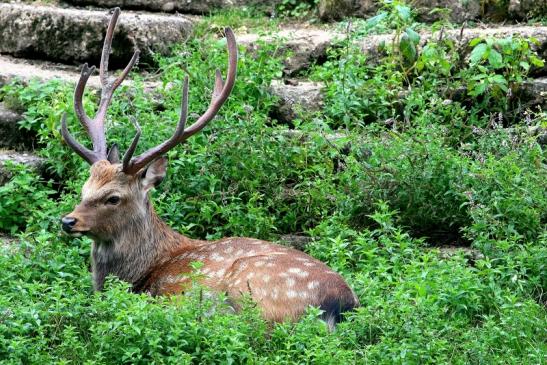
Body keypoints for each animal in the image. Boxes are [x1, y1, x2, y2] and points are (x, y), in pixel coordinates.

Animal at [61, 7, 360, 328]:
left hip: (255, 289)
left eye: (113, 198)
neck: (144, 269)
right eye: (84, 189)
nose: (67, 221)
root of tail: (342, 305)